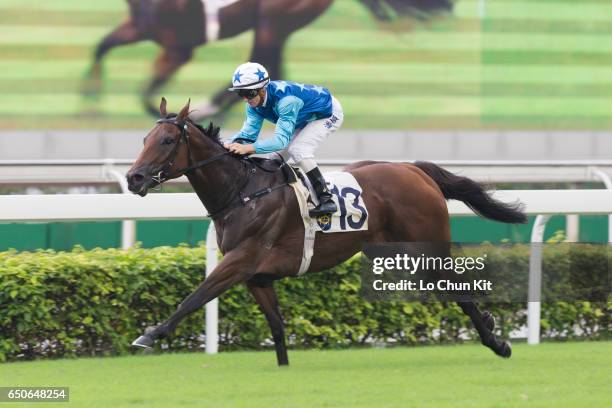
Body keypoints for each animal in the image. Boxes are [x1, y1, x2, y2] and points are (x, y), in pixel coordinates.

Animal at [81, 0, 452, 119]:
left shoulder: (178, 48)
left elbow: (148, 97)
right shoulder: (141, 29)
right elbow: (101, 46)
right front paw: (91, 99)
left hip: (272, 21)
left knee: (264, 68)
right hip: (278, 26)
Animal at [125, 99, 524, 366]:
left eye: (166, 141)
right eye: (144, 137)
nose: (134, 177)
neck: (242, 192)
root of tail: (413, 169)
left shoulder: (241, 261)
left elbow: (194, 297)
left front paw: (148, 335)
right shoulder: (258, 277)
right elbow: (277, 327)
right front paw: (283, 370)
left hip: (427, 247)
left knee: (460, 291)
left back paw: (498, 342)